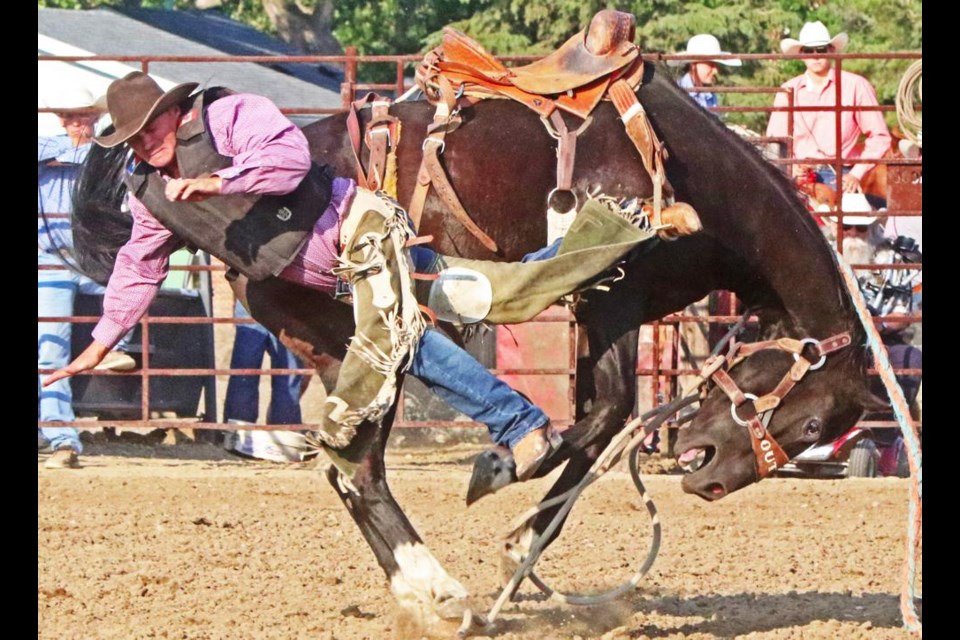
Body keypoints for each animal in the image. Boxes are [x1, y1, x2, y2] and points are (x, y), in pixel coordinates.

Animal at [75, 48, 884, 632]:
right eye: (810, 421)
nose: (709, 478)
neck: (689, 171)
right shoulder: (612, 296)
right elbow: (605, 414)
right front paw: (508, 478)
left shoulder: (615, 308)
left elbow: (602, 420)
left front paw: (522, 552)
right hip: (363, 325)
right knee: (358, 457)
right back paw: (439, 586)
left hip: (336, 344)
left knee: (348, 463)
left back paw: (428, 591)